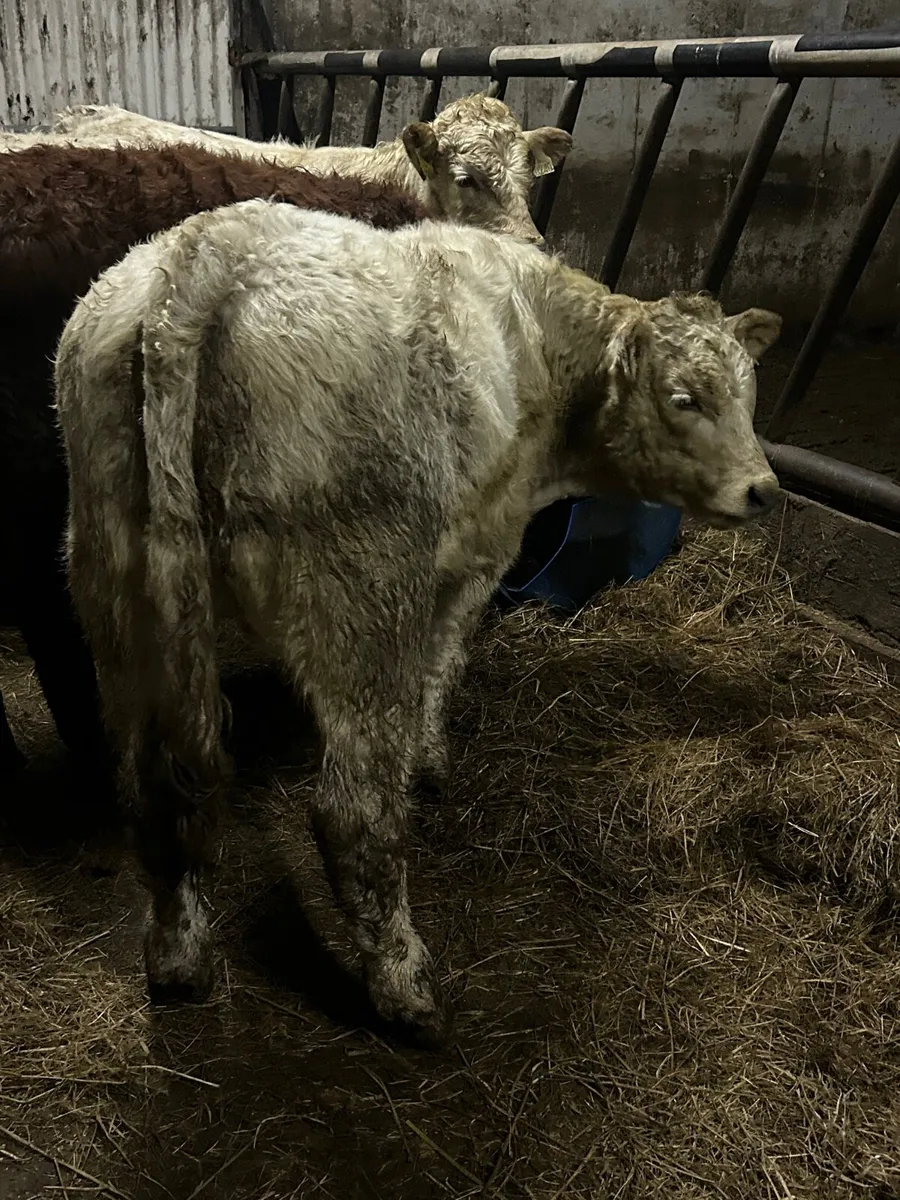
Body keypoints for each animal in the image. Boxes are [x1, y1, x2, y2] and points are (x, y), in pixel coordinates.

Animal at [54, 199, 781, 1039]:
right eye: (684, 397)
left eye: (749, 395)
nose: (764, 489)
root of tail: (209, 254)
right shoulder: (478, 552)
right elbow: (445, 658)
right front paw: (429, 757)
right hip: (364, 590)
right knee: (354, 814)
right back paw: (405, 989)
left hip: (115, 583)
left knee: (156, 786)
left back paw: (178, 961)